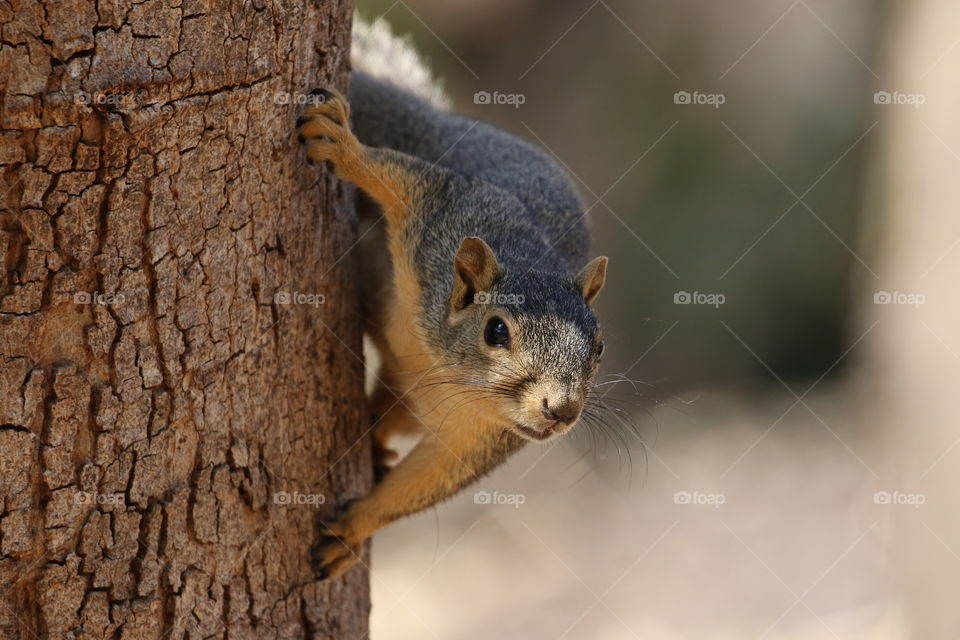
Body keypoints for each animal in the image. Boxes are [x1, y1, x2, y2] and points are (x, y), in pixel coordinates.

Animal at [296, 18, 608, 580]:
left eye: (599, 348)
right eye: (496, 330)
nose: (562, 411)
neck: (445, 366)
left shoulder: (480, 439)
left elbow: (427, 481)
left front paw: (353, 531)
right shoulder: (445, 212)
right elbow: (398, 176)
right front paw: (343, 147)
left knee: (392, 410)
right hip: (401, 117)